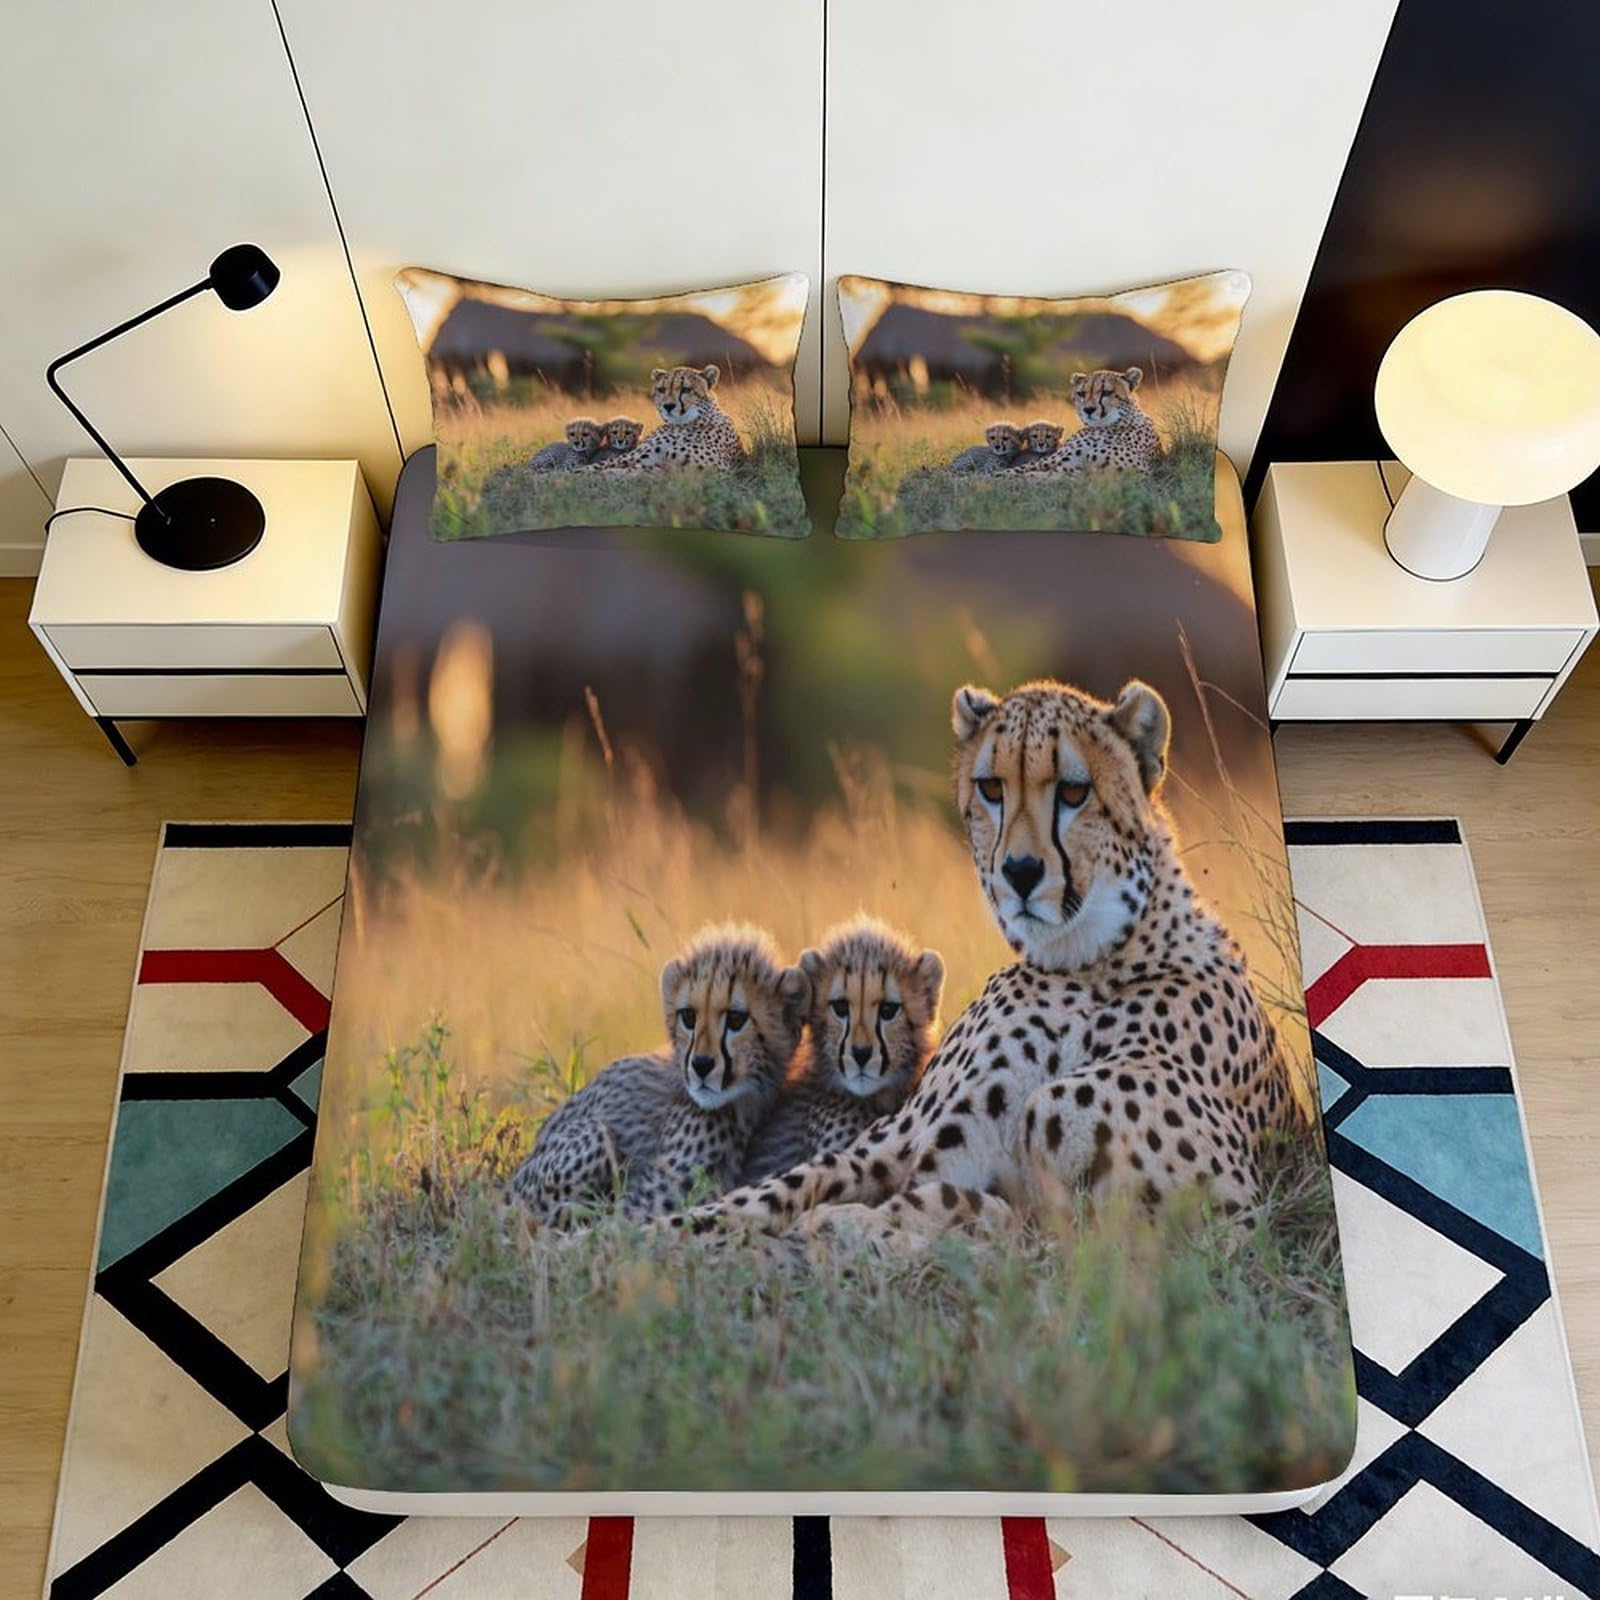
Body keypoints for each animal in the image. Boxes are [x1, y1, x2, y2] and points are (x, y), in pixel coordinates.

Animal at [507, 925, 809, 1223]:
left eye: (736, 1019)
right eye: (688, 1017)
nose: (700, 1065)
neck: (741, 1104)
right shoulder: (649, 1199)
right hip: (594, 1136)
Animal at [588, 365, 744, 472]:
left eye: (686, 389)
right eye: (662, 390)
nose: (668, 406)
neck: (682, 425)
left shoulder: (714, 469)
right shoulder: (637, 456)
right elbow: (591, 469)